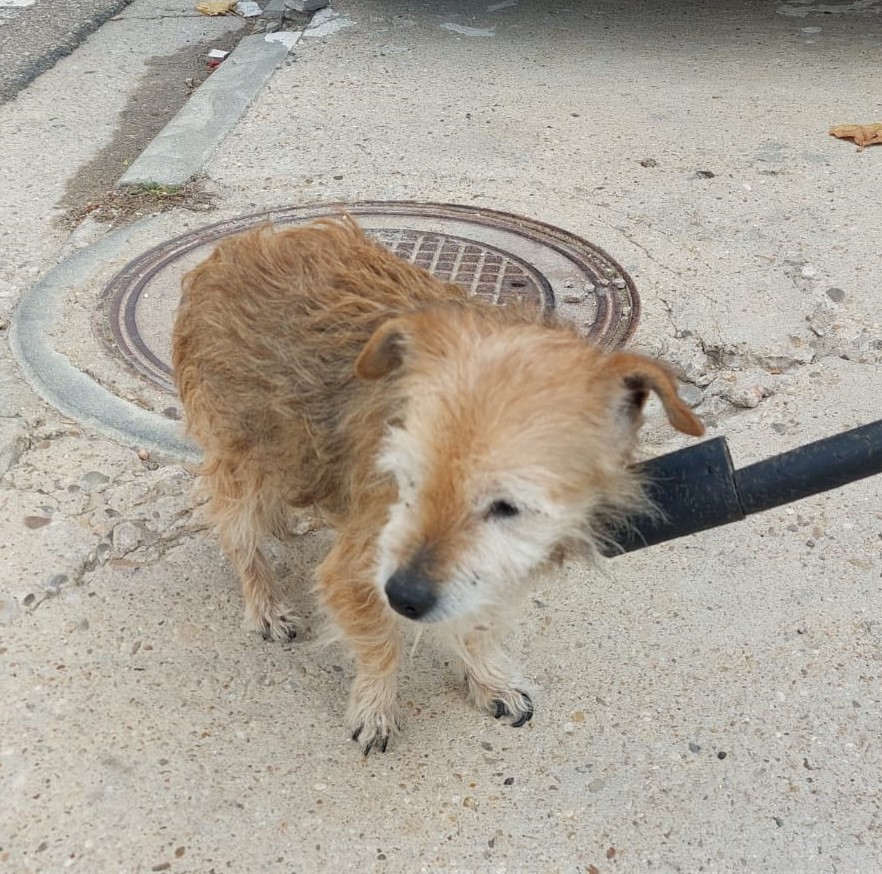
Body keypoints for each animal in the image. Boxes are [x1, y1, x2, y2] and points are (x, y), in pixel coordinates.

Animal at [172, 217, 704, 753]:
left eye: (508, 506)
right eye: (406, 479)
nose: (403, 596)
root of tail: (236, 246)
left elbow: (476, 625)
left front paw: (488, 678)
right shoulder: (358, 565)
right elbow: (379, 643)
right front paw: (375, 706)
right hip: (242, 455)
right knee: (238, 532)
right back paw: (265, 604)